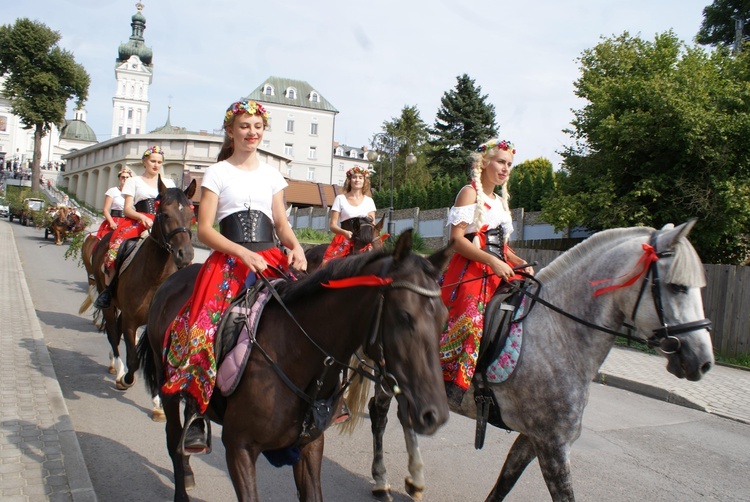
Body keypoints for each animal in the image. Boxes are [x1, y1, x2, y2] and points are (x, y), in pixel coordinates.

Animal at [86, 177, 197, 392]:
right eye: (165, 214)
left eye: (191, 215)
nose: (185, 254)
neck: (155, 278)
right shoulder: (131, 322)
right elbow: (134, 360)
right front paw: (125, 379)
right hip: (109, 303)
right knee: (112, 333)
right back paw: (118, 368)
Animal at [136, 230, 452, 502]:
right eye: (404, 316)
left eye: (444, 317)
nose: (434, 414)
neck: (297, 352)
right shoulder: (238, 448)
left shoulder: (310, 445)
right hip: (167, 386)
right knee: (174, 441)